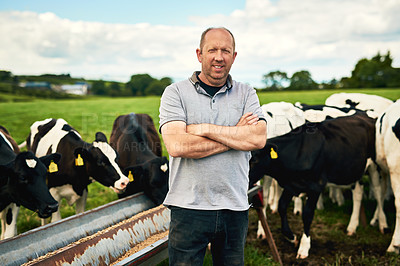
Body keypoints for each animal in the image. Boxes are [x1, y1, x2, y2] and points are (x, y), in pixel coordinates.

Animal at [248, 112, 376, 258]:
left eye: (255, 160)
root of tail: (363, 114)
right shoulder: (292, 185)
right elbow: (282, 206)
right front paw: (290, 236)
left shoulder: (316, 186)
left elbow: (307, 215)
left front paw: (304, 247)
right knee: (358, 193)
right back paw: (353, 226)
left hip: (375, 168)